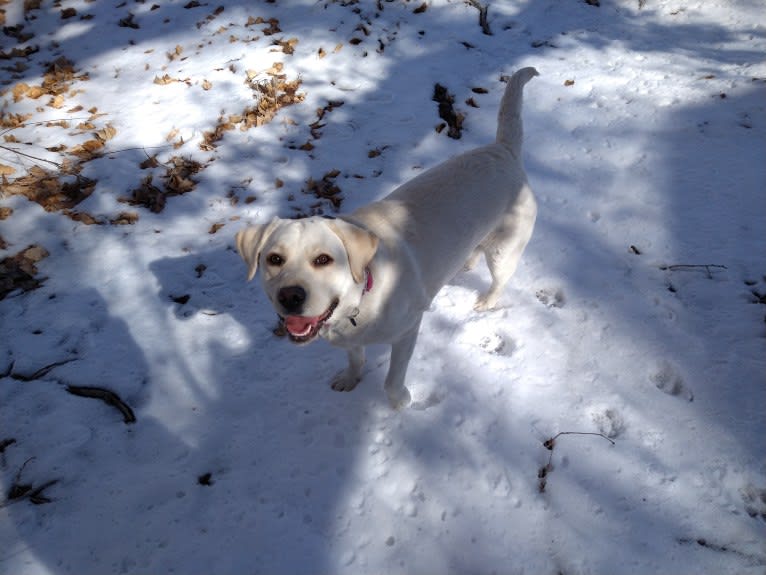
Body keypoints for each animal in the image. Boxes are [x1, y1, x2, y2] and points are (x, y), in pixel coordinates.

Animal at [236, 67, 540, 410]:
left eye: (323, 259)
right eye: (274, 259)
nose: (290, 297)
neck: (362, 293)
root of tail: (503, 149)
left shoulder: (408, 330)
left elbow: (392, 382)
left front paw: (401, 404)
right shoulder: (348, 337)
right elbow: (356, 358)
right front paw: (350, 378)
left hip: (506, 248)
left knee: (500, 279)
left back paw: (486, 300)